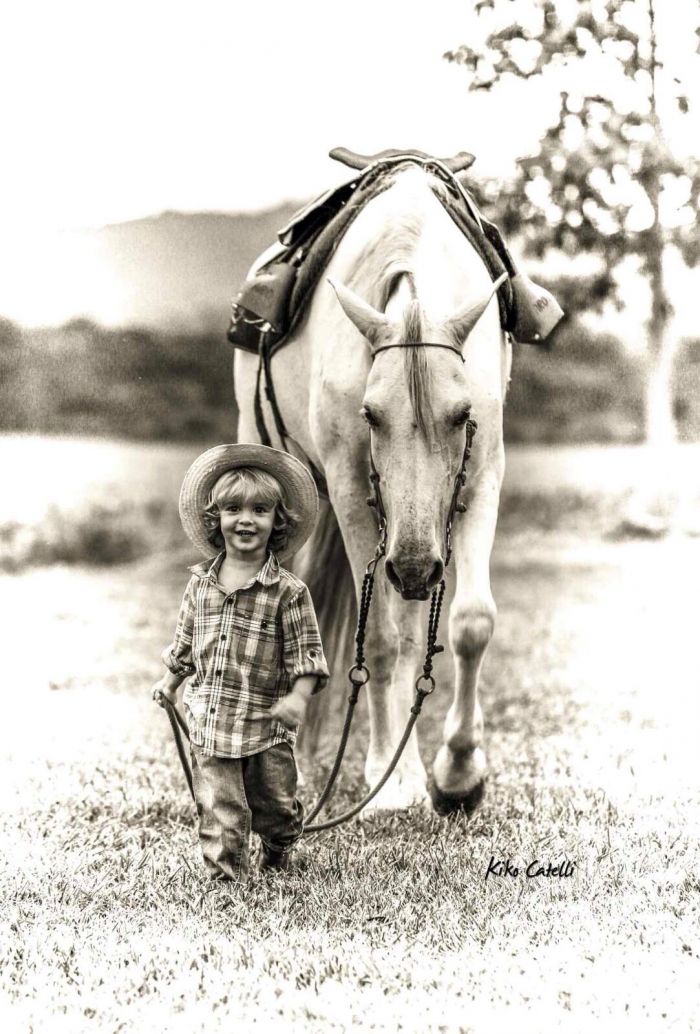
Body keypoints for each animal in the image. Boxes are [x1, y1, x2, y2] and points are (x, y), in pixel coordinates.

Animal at [231, 161, 510, 810]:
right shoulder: (352, 490)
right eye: (370, 416)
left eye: (462, 414)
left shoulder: (482, 475)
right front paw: (389, 774)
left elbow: (470, 622)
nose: (414, 568)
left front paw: (459, 774)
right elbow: (378, 639)